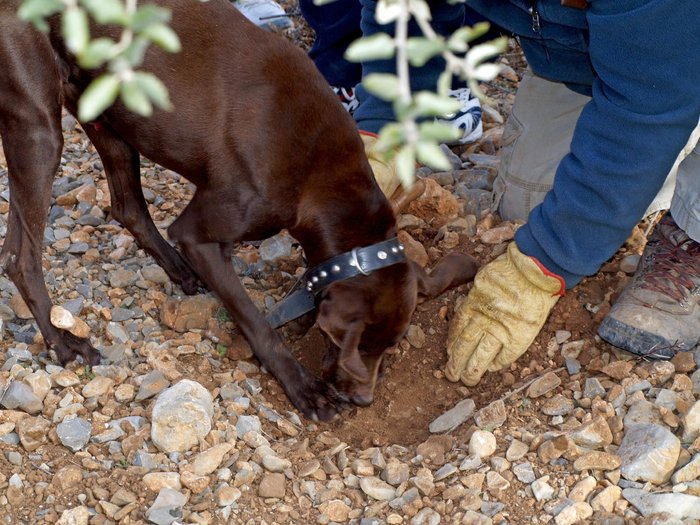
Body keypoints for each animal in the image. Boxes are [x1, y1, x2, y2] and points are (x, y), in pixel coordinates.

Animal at [0, 0, 476, 418]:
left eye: (389, 348)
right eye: (355, 346)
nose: (363, 401)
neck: (321, 175)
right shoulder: (201, 232)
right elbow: (255, 321)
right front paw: (302, 386)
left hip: (107, 113)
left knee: (124, 207)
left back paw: (179, 271)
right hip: (41, 130)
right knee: (21, 257)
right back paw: (63, 343)